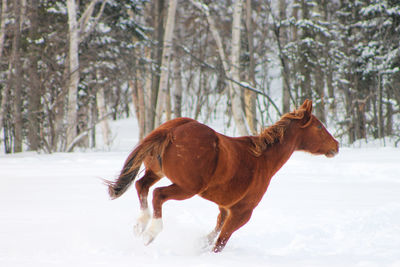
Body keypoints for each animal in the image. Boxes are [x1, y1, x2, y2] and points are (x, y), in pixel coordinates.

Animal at [105, 100, 338, 253]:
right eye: (319, 126)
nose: (336, 145)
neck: (263, 160)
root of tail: (173, 129)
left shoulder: (224, 209)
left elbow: (214, 232)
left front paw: (200, 244)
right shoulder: (241, 213)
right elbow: (220, 241)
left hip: (157, 172)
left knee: (141, 186)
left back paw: (139, 226)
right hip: (187, 188)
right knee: (158, 195)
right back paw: (150, 233)